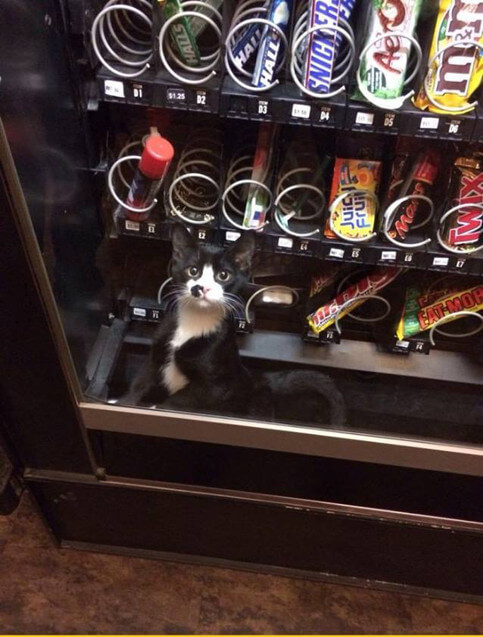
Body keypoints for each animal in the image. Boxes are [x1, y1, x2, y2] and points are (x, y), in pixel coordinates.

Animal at [124, 224, 344, 428]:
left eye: (223, 275)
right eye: (192, 270)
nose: (201, 288)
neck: (195, 320)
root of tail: (258, 379)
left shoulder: (215, 386)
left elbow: (179, 401)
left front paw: (155, 407)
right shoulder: (153, 360)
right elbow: (139, 385)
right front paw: (129, 402)